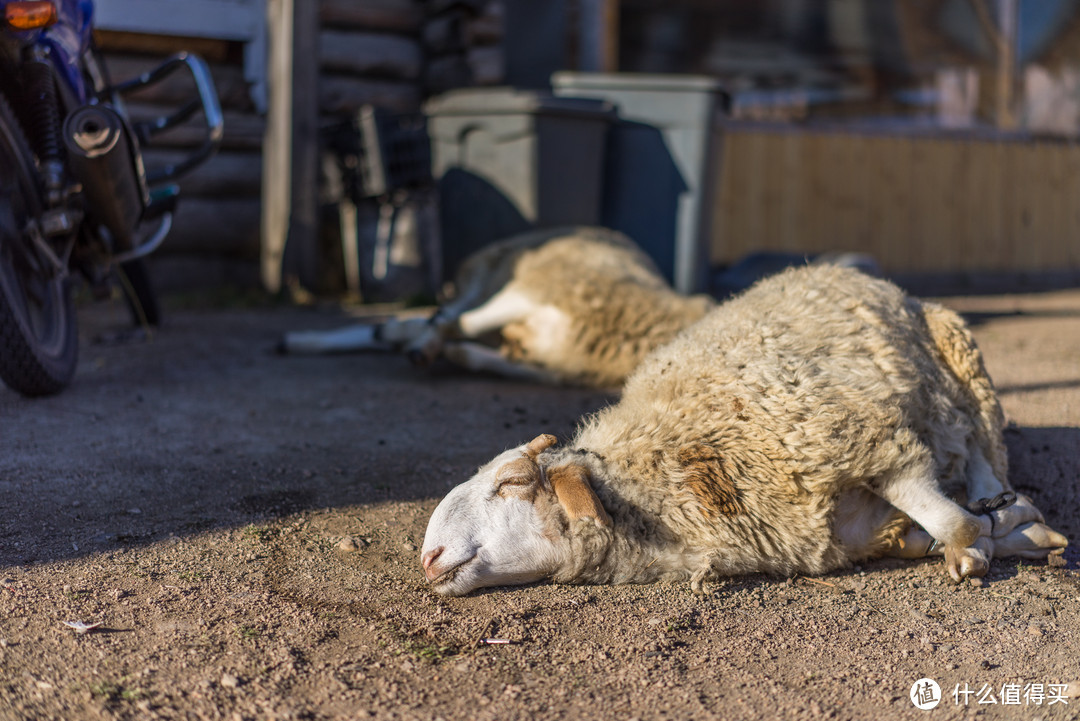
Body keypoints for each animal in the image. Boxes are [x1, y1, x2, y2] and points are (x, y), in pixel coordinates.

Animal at [280, 226, 717, 388]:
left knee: (422, 323)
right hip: (500, 278)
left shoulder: (551, 367)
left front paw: (454, 354)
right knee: (445, 316)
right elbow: (455, 324)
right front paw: (430, 348)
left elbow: (481, 355)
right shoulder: (536, 287)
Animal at [416, 264, 1067, 595]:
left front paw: (978, 542)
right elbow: (931, 529)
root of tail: (859, 274)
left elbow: (947, 518)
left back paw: (993, 498)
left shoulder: (869, 440)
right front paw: (1003, 533)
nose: (429, 557)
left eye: (513, 482)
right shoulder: (847, 527)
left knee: (981, 448)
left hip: (964, 364)